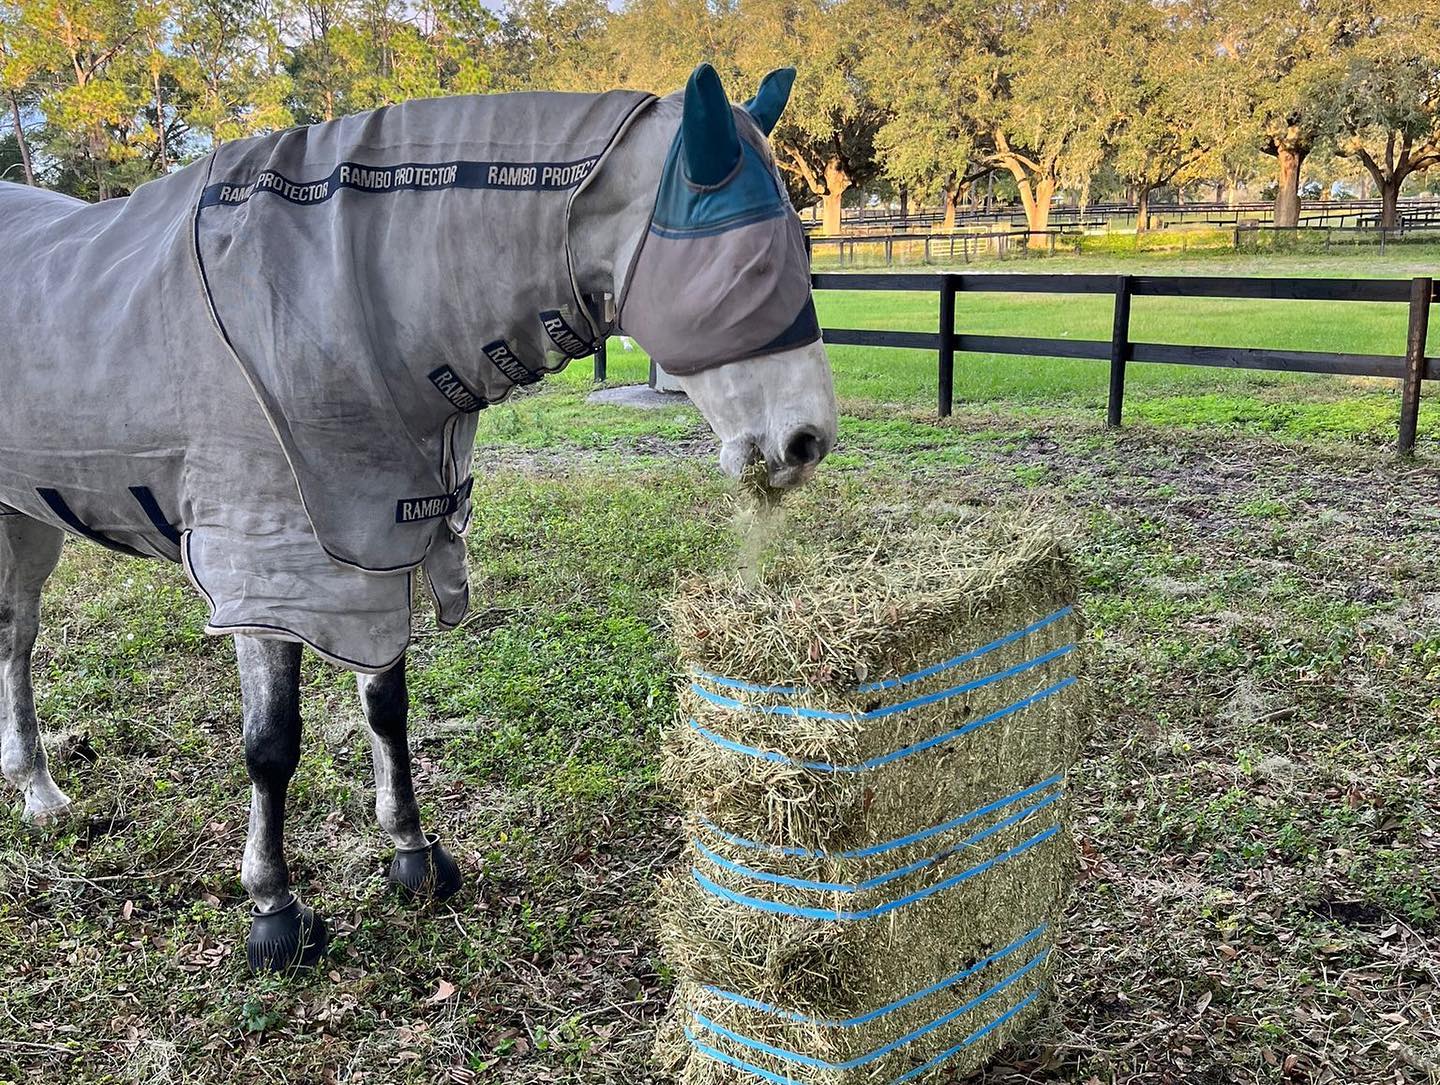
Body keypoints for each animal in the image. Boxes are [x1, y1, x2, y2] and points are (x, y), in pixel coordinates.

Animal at [0, 63, 840, 968]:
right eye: (749, 270)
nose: (807, 441)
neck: (313, 303)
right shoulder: (262, 568)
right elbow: (271, 745)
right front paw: (274, 906)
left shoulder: (377, 541)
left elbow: (387, 707)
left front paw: (411, 852)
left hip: (28, 519)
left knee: (15, 638)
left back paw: (39, 790)